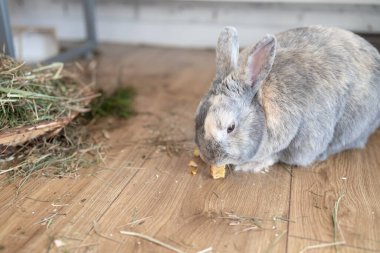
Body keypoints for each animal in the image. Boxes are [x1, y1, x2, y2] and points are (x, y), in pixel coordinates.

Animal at [194, 25, 380, 172]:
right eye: (197, 117)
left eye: (230, 128)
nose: (209, 158)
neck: (262, 100)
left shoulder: (303, 142)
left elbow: (278, 156)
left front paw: (250, 165)